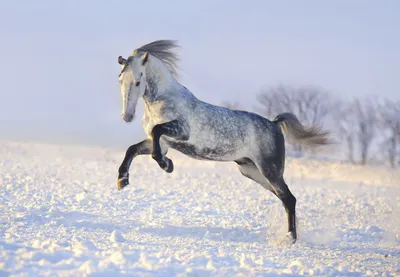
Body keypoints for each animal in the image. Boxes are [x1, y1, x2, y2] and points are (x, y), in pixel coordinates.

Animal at [115, 39, 332, 244]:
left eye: (137, 81)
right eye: (120, 79)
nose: (127, 116)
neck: (164, 100)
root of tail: (274, 124)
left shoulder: (180, 131)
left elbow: (156, 133)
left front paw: (167, 166)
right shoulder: (163, 143)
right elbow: (133, 149)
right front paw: (122, 180)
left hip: (270, 169)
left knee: (289, 198)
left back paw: (289, 239)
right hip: (251, 170)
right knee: (285, 198)